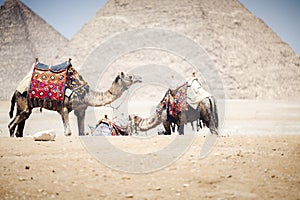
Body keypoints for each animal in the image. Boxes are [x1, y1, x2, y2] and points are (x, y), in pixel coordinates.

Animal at [8, 58, 142, 137]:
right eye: (130, 76)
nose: (140, 78)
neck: (87, 94)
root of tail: (16, 89)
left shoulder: (81, 109)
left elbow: (81, 132)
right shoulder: (63, 108)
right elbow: (68, 133)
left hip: (23, 105)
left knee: (20, 124)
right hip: (23, 101)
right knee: (12, 124)